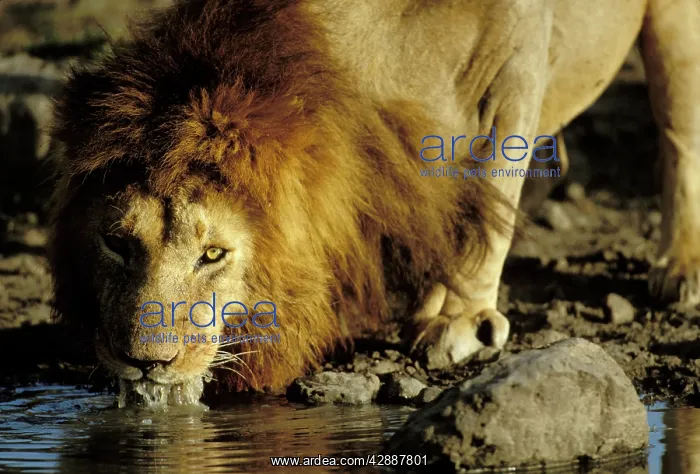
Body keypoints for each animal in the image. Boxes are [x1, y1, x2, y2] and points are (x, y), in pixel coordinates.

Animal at [48, 0, 700, 400]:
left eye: (213, 255)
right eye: (116, 243)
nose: (144, 362)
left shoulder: (515, 60)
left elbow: (492, 186)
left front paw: (460, 320)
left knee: (679, 138)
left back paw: (680, 269)